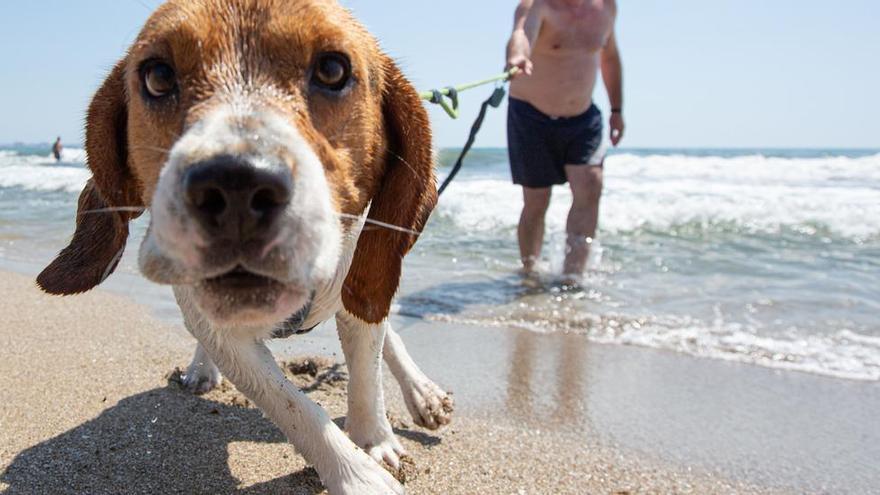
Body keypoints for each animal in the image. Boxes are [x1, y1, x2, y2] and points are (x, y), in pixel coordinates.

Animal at [36, 1, 454, 494]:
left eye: (332, 69)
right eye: (158, 76)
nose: (236, 184)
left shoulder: (358, 286)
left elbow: (367, 374)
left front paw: (374, 441)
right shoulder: (225, 333)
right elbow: (296, 409)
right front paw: (359, 477)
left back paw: (421, 392)